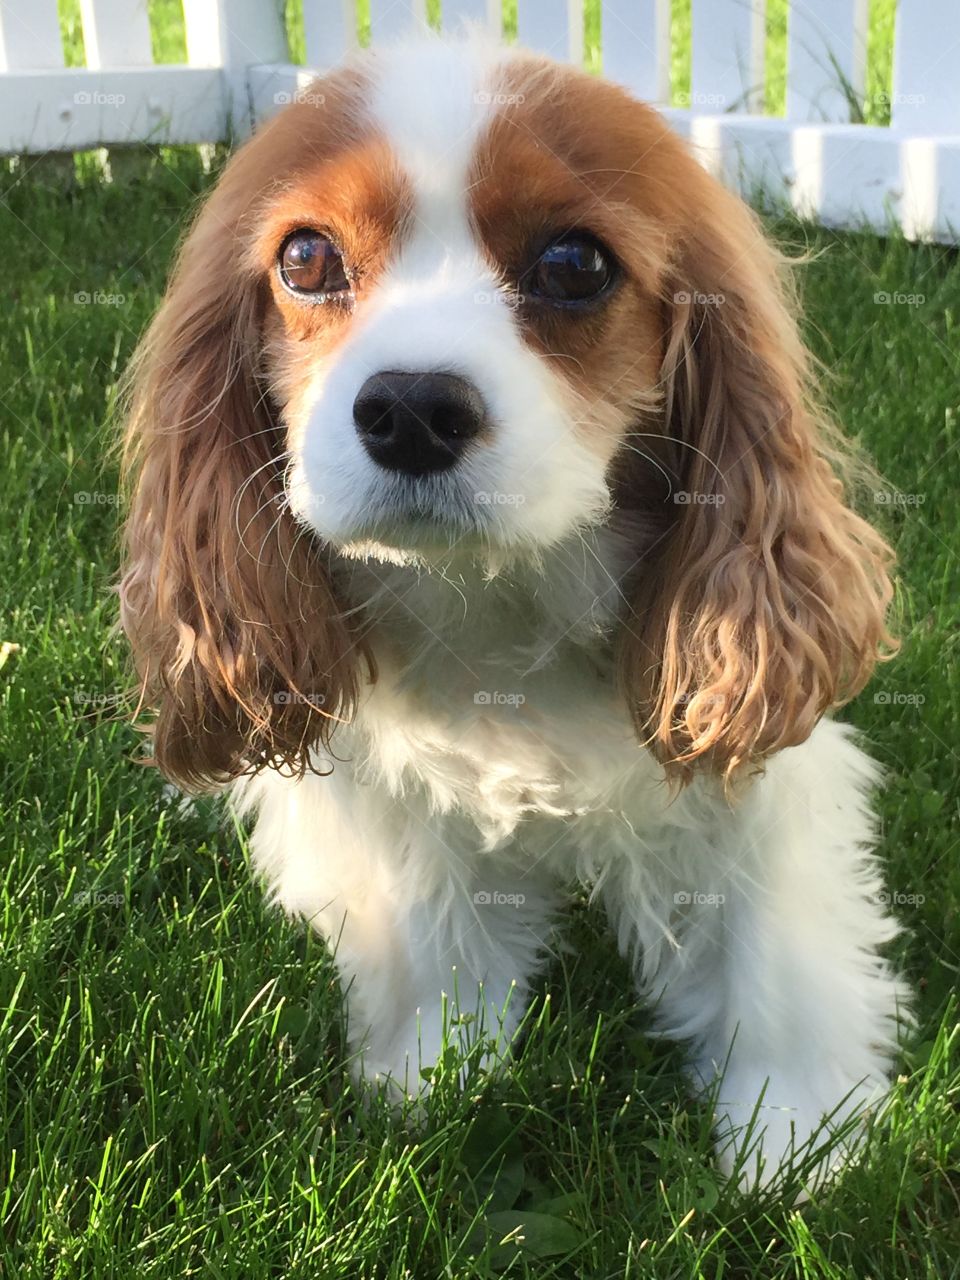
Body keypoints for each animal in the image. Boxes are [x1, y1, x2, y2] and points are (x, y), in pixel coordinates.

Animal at [120, 32, 911, 1187]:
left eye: (574, 266)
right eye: (306, 259)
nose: (410, 407)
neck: (503, 589)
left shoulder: (763, 785)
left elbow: (778, 952)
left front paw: (794, 1134)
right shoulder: (395, 786)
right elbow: (434, 932)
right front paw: (433, 1076)